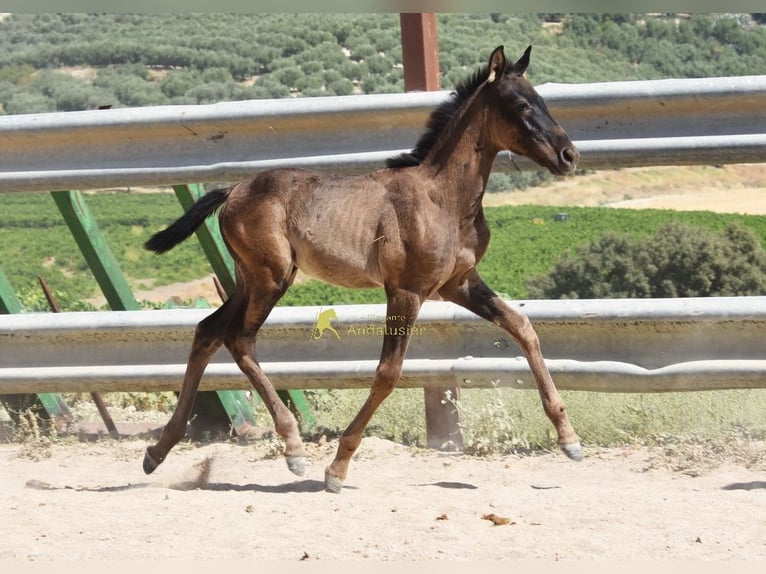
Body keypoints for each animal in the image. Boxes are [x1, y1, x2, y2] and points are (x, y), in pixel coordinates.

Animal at [142, 45, 582, 493]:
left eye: (543, 100)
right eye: (521, 104)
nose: (569, 155)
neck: (443, 199)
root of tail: (233, 190)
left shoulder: (459, 283)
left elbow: (523, 328)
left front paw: (569, 439)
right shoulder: (406, 290)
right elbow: (389, 372)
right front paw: (337, 467)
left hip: (249, 280)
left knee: (208, 331)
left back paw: (159, 450)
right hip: (271, 278)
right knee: (239, 339)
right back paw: (293, 448)